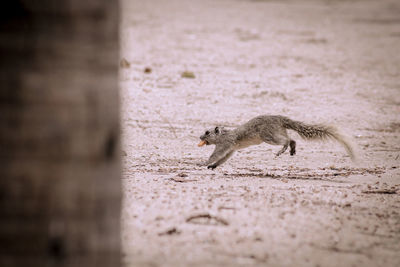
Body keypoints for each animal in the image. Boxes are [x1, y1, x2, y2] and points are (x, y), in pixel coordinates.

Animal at [198, 115, 354, 170]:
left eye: (207, 132)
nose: (199, 137)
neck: (224, 135)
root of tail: (280, 119)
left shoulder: (224, 145)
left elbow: (216, 155)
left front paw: (203, 163)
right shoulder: (231, 149)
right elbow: (222, 159)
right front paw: (212, 166)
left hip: (268, 136)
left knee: (287, 140)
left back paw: (283, 150)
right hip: (277, 133)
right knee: (292, 139)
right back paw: (292, 150)